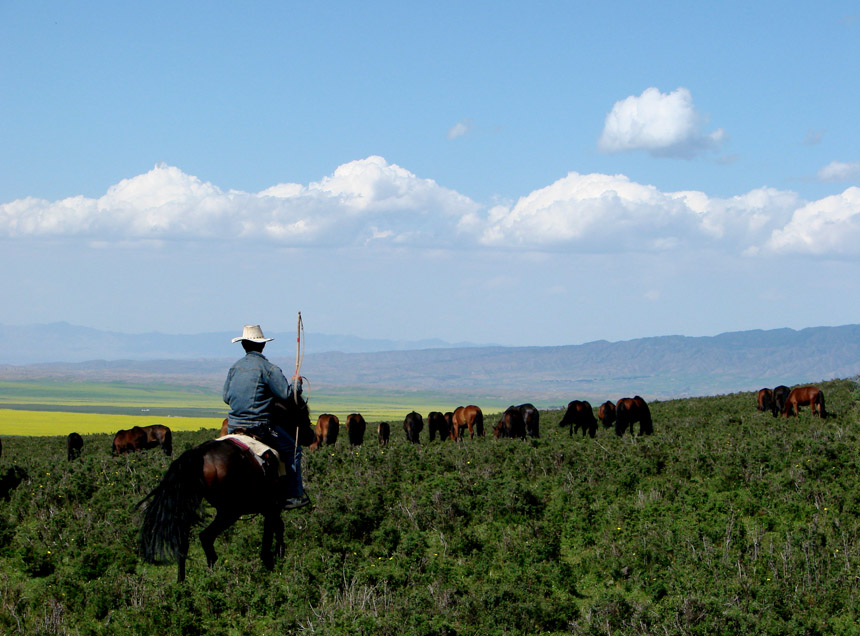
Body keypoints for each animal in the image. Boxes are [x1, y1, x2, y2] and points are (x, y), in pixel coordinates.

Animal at [139, 400, 314, 584]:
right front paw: (273, 568)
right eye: (302, 411)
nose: (311, 435)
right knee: (206, 537)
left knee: (183, 543)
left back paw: (182, 582)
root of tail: (199, 454)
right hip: (230, 511)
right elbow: (269, 539)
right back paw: (212, 578)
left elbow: (278, 529)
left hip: (192, 506)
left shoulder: (270, 509)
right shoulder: (271, 508)